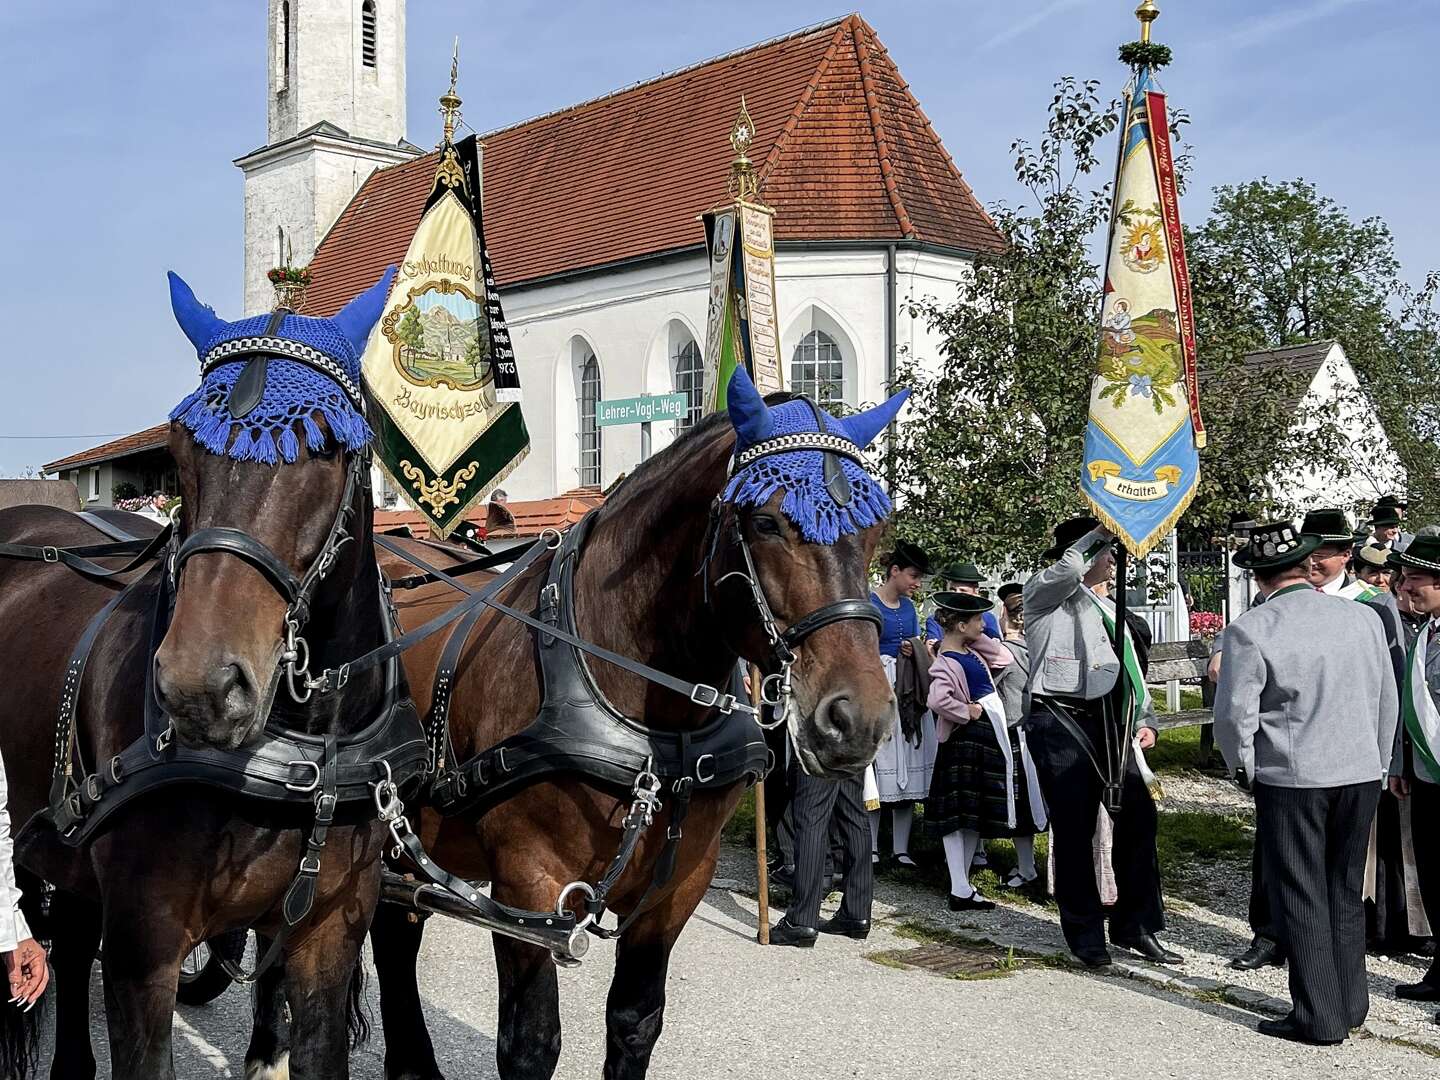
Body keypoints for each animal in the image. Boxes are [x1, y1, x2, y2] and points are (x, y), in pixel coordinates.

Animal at [0, 272, 400, 1080]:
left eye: (324, 445)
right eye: (182, 446)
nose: (199, 687)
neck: (294, 759)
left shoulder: (326, 942)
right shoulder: (143, 952)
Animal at [246, 374, 898, 1080]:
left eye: (877, 529)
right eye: (767, 521)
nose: (857, 718)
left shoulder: (677, 888)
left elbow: (635, 1023)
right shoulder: (529, 885)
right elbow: (530, 1043)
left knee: (394, 938)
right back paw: (269, 1050)